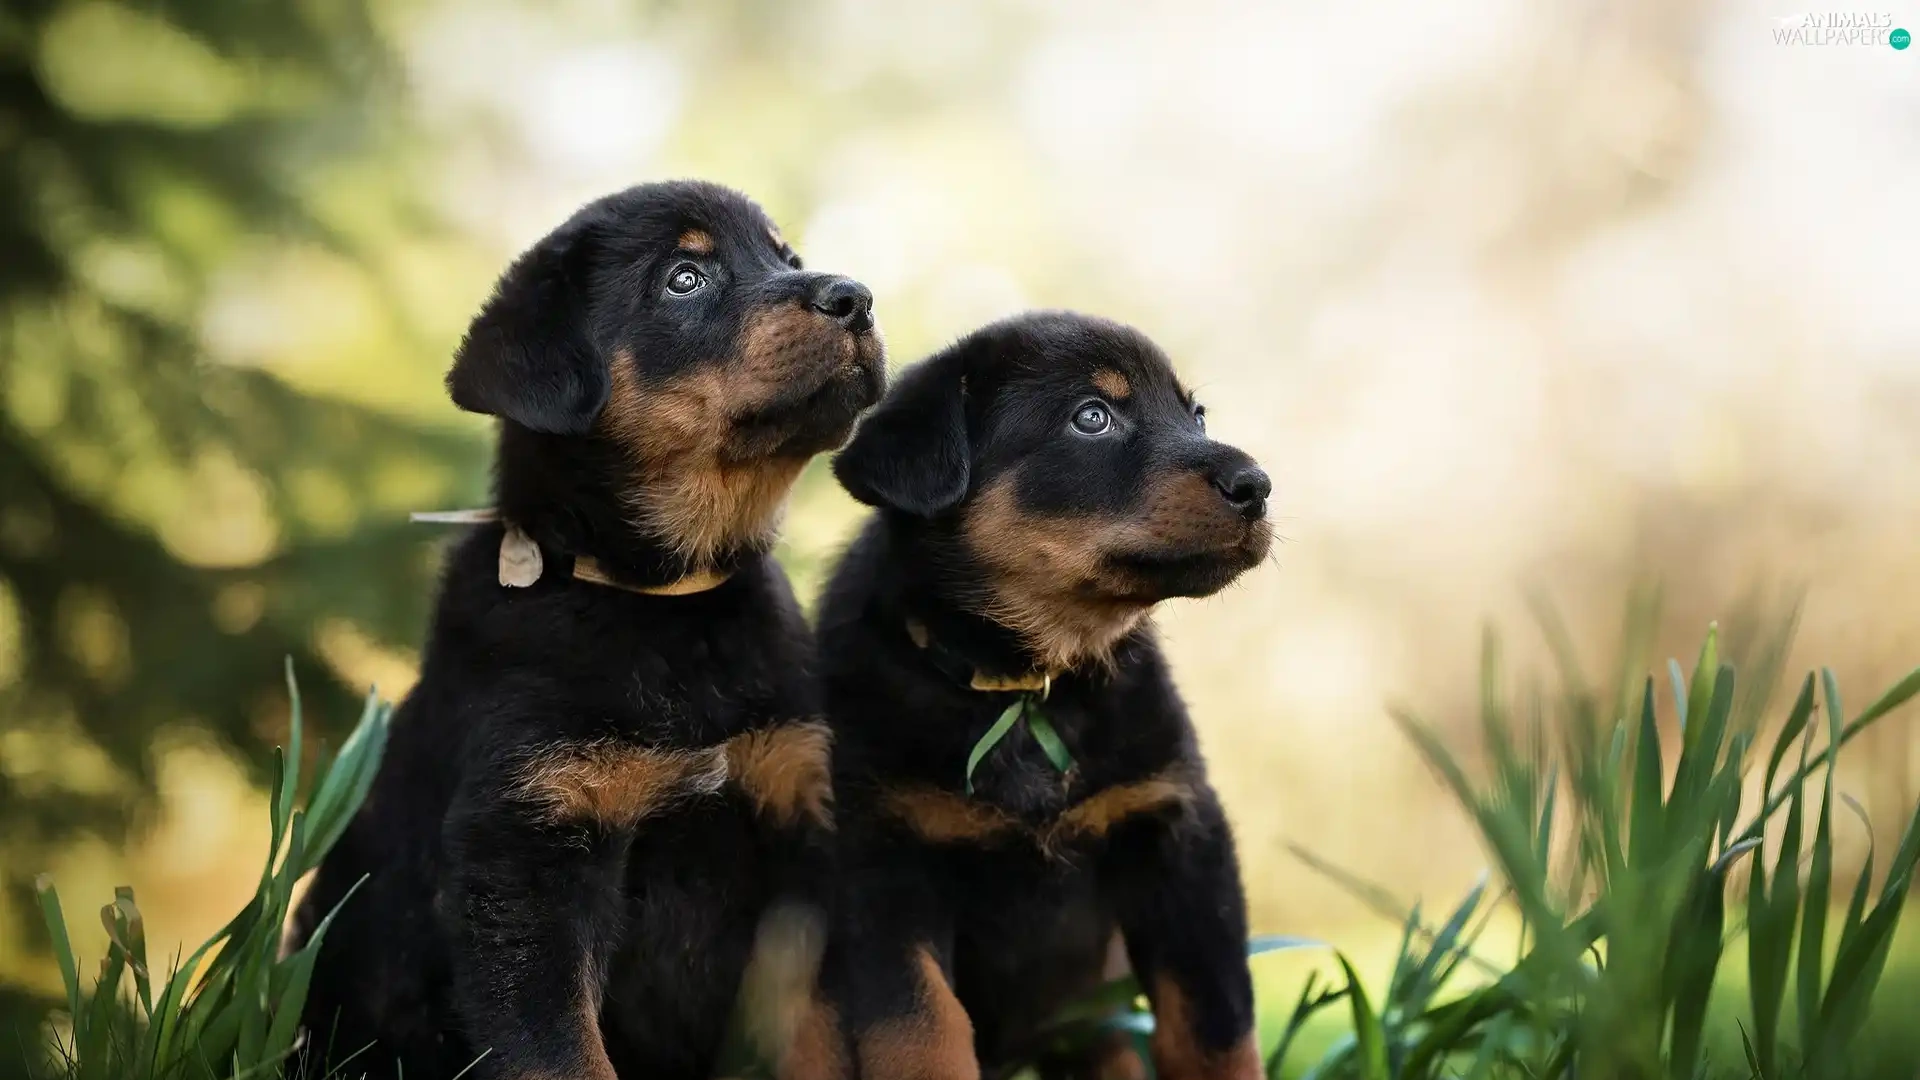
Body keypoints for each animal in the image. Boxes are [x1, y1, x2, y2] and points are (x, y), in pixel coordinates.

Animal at [287, 180, 885, 1080]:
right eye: (683, 278)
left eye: (787, 257)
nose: (856, 297)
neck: (664, 600)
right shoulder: (531, 855)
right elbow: (560, 1051)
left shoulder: (796, 838)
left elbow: (814, 1041)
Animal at [805, 311, 1272, 1080]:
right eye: (1093, 417)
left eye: (1196, 414)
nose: (1258, 485)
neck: (1027, 688)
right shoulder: (883, 863)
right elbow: (920, 1031)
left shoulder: (1180, 834)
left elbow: (1213, 1025)